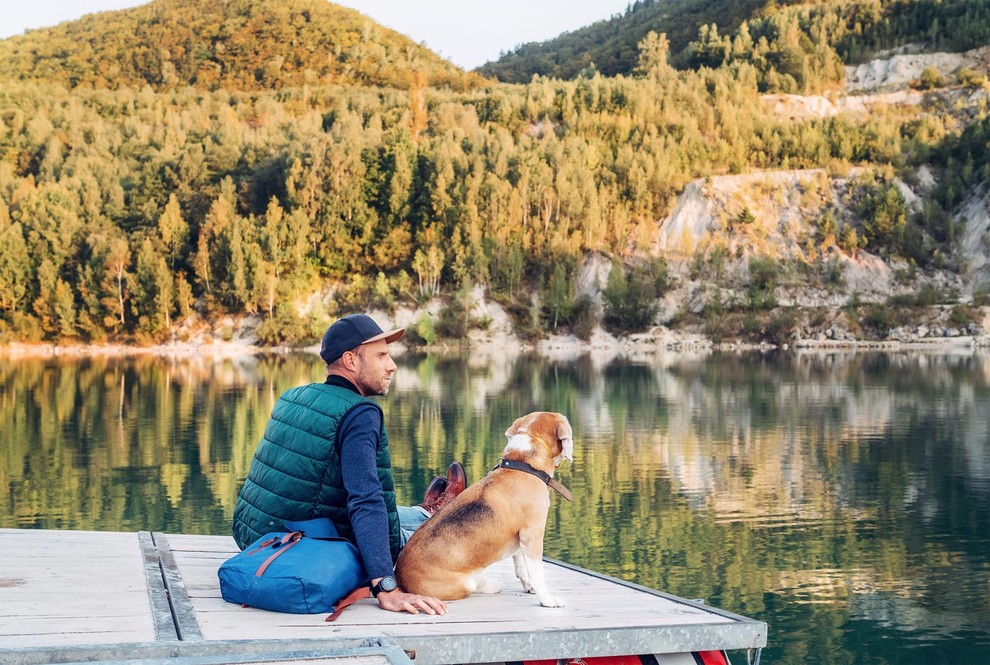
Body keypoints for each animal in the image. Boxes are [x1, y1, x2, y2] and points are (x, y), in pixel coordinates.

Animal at [396, 410, 572, 608]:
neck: (523, 465)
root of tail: (399, 578)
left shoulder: (520, 538)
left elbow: (521, 567)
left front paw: (529, 587)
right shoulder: (532, 534)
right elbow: (537, 572)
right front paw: (547, 599)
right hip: (465, 583)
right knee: (473, 586)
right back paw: (493, 585)